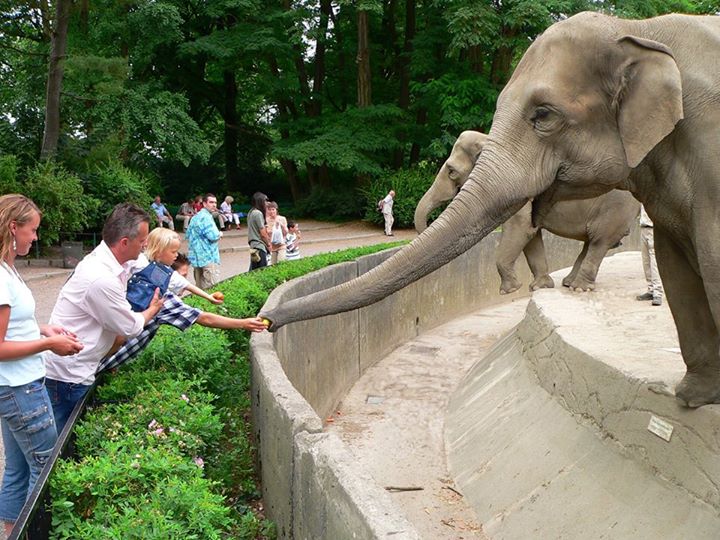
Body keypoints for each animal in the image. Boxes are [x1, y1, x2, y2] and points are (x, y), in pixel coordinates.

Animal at [414, 130, 640, 292]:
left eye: (451, 171)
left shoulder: (514, 189)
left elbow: (521, 229)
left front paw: (510, 291)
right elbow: (531, 235)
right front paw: (540, 287)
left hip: (615, 210)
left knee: (599, 241)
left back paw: (579, 288)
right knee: (590, 243)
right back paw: (568, 283)